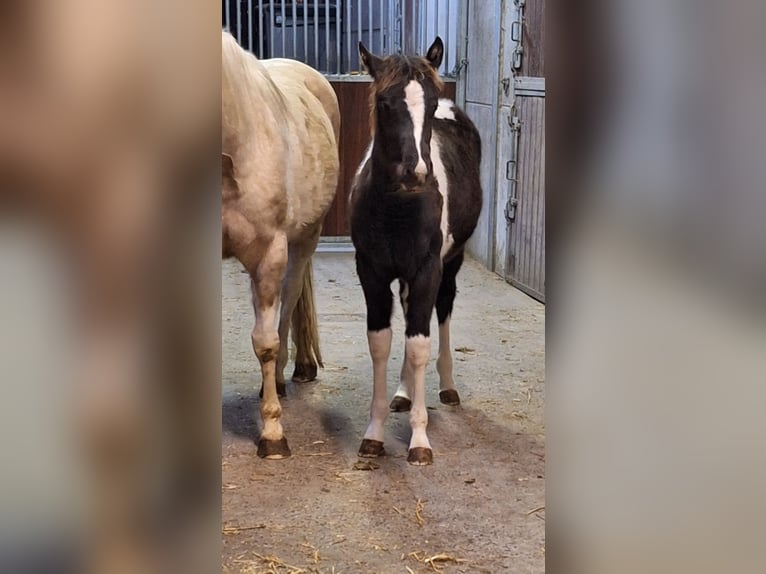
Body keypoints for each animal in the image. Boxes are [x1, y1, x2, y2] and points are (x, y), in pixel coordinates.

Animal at [224, 31, 340, 462]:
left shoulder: (268, 255)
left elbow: (266, 343)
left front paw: (272, 434)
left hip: (302, 243)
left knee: (287, 308)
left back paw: (283, 377)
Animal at [352, 37, 484, 468]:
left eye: (428, 103)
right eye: (385, 102)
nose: (417, 174)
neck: (398, 208)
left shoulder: (428, 270)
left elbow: (419, 344)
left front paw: (420, 439)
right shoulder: (372, 273)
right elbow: (383, 342)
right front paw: (374, 433)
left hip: (451, 263)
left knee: (441, 312)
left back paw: (447, 386)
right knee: (412, 313)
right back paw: (403, 392)